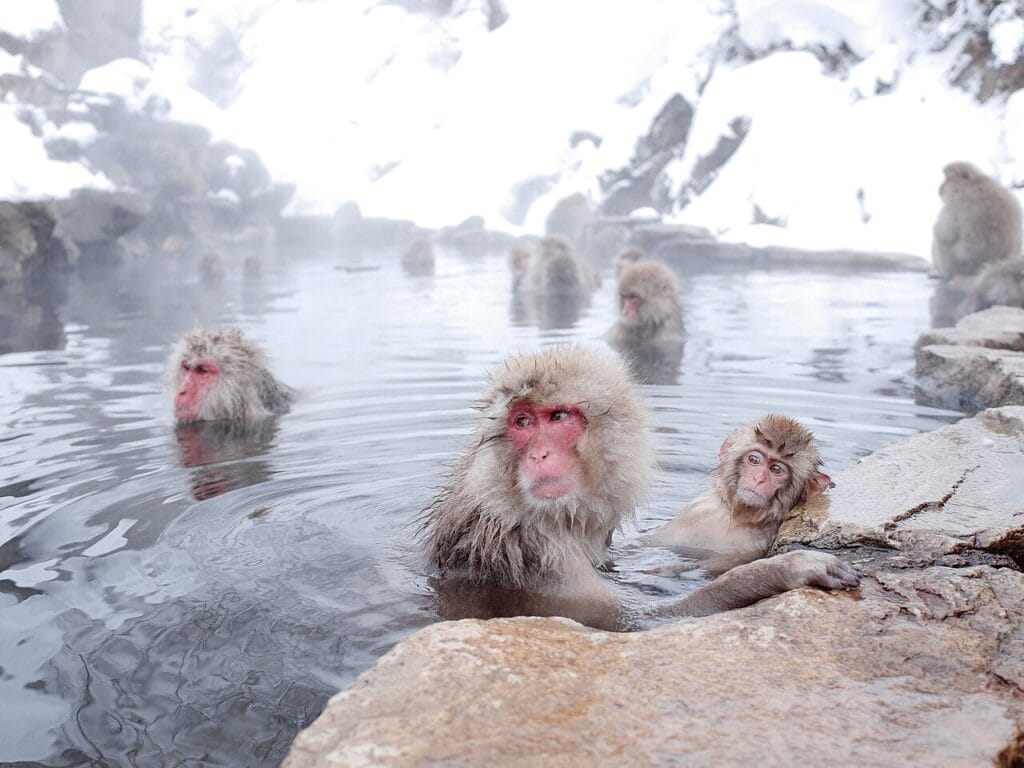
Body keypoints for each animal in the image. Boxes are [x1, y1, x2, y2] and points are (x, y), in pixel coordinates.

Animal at [643, 414, 831, 573]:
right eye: (754, 459)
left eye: (777, 469)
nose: (758, 478)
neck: (736, 515)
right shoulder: (697, 507)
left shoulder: (752, 548)